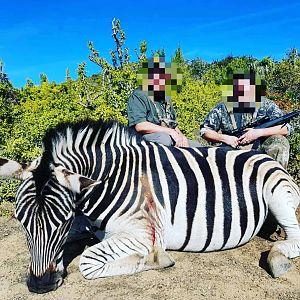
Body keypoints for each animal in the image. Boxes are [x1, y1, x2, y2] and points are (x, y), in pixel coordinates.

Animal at [0, 119, 300, 292]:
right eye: (21, 222)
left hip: (277, 194)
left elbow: (87, 262)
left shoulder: (144, 233)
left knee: (294, 237)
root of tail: (260, 155)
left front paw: (156, 259)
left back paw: (277, 258)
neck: (110, 181)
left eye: (62, 221)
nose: (40, 285)